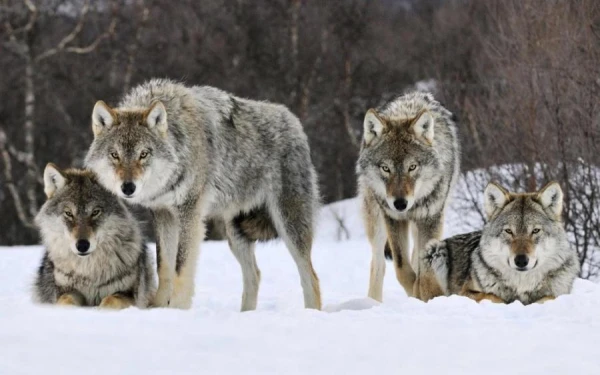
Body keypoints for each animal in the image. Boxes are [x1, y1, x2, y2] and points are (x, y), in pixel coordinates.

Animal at [33, 164, 156, 308]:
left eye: (95, 212)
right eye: (68, 213)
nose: (82, 245)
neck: (89, 272)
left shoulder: (128, 294)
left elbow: (110, 301)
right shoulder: (66, 291)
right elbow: (66, 301)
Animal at [85, 78, 322, 312]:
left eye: (143, 154)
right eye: (115, 155)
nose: (128, 187)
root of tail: (294, 121)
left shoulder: (189, 213)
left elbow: (181, 267)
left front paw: (177, 309)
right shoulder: (163, 214)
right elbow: (164, 267)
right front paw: (159, 308)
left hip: (289, 226)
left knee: (311, 277)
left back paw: (311, 312)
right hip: (236, 234)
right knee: (255, 275)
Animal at [356, 92, 460, 302]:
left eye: (412, 167)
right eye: (385, 168)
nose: (400, 203)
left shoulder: (431, 219)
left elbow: (423, 270)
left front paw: (424, 295)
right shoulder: (393, 219)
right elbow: (402, 268)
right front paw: (415, 292)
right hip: (376, 222)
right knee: (378, 264)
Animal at [422, 182, 580, 306]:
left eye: (535, 231)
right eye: (509, 231)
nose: (521, 260)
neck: (521, 286)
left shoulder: (558, 294)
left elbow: (549, 297)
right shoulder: (464, 292)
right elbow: (493, 296)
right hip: (435, 250)